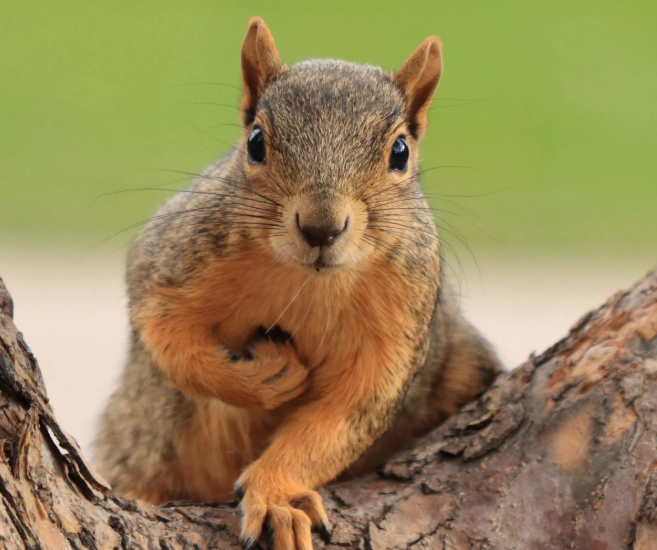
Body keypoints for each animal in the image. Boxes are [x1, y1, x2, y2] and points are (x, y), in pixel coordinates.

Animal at [94, 17, 501, 550]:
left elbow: (340, 420)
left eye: (400, 152)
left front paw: (276, 497)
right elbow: (167, 339)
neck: (306, 282)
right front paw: (261, 379)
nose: (321, 228)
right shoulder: (172, 259)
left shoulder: (399, 329)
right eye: (255, 143)